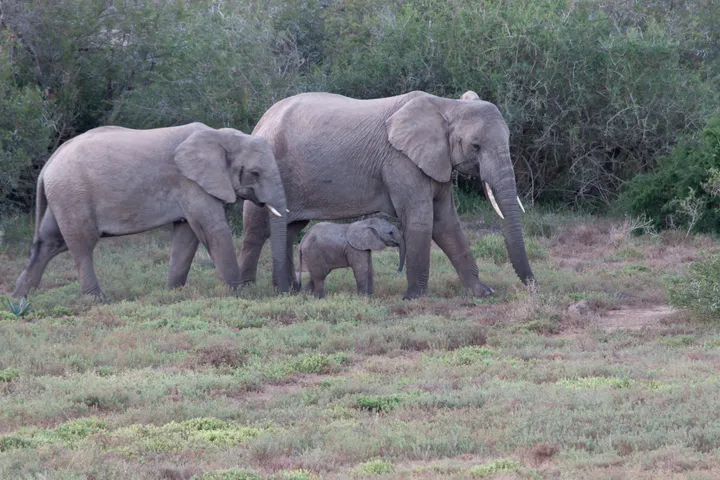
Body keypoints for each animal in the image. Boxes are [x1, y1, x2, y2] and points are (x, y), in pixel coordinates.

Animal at [12, 122, 289, 301]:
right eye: (255, 173)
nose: (282, 291)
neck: (220, 136)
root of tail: (47, 165)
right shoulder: (190, 183)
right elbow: (213, 230)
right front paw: (240, 294)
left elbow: (187, 235)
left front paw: (174, 294)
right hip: (73, 194)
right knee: (82, 244)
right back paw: (97, 300)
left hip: (62, 196)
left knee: (50, 242)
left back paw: (20, 298)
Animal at [237, 89, 535, 300]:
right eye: (475, 146)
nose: (533, 286)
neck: (447, 106)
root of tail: (262, 120)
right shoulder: (400, 161)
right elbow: (420, 219)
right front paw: (413, 298)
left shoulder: (436, 162)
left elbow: (446, 222)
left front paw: (482, 292)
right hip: (265, 170)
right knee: (256, 230)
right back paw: (248, 290)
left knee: (289, 230)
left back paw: (288, 291)